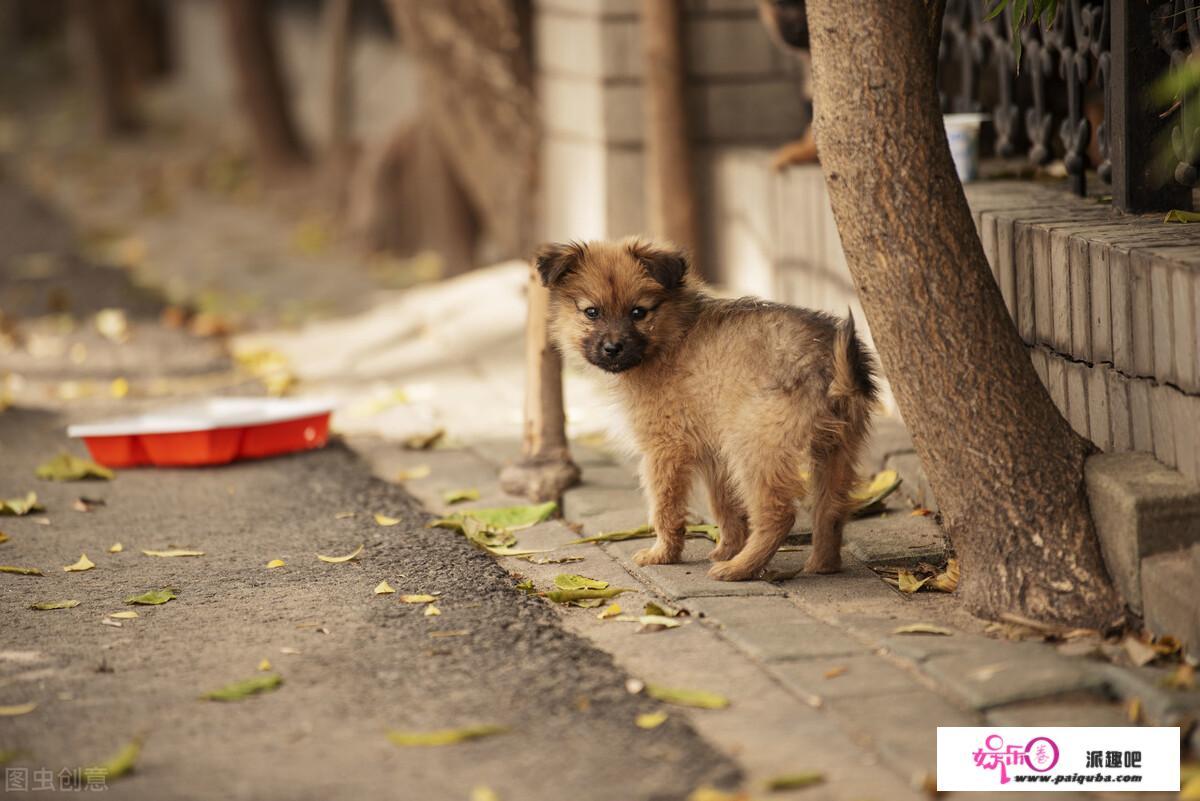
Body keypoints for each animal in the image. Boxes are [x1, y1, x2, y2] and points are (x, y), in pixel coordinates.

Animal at [540, 237, 878, 582]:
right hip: (835, 447)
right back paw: (822, 564)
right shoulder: (714, 454)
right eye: (591, 312)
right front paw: (726, 547)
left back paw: (739, 568)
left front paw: (663, 554)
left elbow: (664, 508)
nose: (612, 348)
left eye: (638, 312)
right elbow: (724, 506)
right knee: (831, 509)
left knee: (778, 513)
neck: (670, 336)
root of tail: (830, 363)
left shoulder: (665, 448)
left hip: (755, 447)